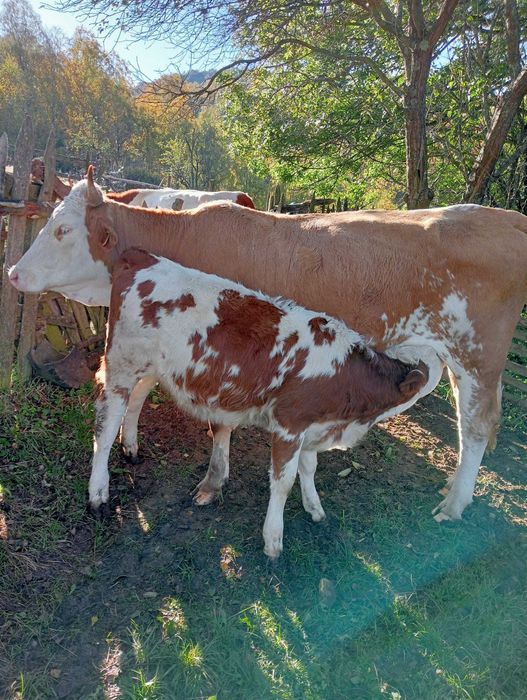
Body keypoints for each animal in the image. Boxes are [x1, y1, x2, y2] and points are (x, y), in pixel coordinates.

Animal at [9, 168, 527, 523]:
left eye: (62, 230)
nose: (12, 273)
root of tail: (505, 217)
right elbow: (140, 392)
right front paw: (132, 444)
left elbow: (216, 423)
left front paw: (212, 481)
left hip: (477, 357)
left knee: (476, 427)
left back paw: (454, 503)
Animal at [94, 247, 430, 557]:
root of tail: (141, 256)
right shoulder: (289, 424)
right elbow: (283, 481)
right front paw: (273, 539)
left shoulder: (312, 427)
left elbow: (309, 468)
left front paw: (314, 507)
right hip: (120, 365)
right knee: (105, 426)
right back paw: (98, 494)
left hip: (152, 368)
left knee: (137, 400)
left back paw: (131, 448)